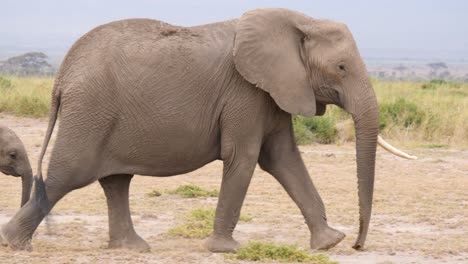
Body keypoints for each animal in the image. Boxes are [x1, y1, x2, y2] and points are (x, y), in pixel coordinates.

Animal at [2, 7, 414, 252]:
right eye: (342, 68)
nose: (359, 244)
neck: (298, 20)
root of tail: (61, 75)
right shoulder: (245, 92)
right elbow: (245, 158)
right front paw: (224, 250)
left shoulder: (273, 90)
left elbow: (284, 159)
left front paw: (328, 243)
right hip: (91, 111)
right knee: (67, 177)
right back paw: (14, 243)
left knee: (116, 181)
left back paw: (133, 249)